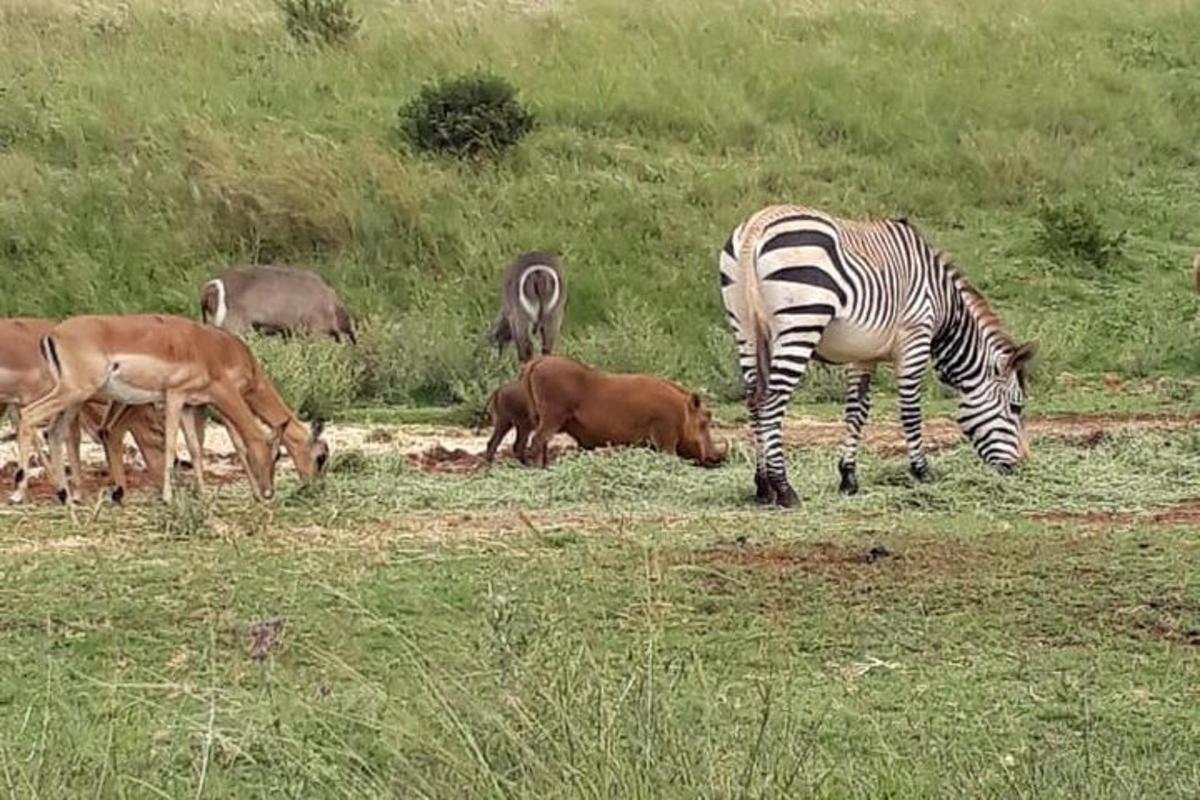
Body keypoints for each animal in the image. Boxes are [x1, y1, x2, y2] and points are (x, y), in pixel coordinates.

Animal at [15, 316, 328, 503]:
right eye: (321, 457)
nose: (269, 492)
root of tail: (52, 334)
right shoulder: (179, 396)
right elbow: (175, 445)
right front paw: (168, 497)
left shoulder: (192, 404)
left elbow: (196, 447)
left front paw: (202, 494)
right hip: (75, 393)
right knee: (29, 416)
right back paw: (22, 492)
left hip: (76, 399)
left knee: (59, 433)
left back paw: (69, 495)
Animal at [715, 206, 1036, 506]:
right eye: (1016, 407)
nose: (1020, 466)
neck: (945, 306)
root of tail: (758, 224)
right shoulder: (915, 339)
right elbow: (910, 410)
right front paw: (921, 472)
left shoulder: (863, 355)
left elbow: (857, 411)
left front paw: (848, 478)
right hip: (800, 322)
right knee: (772, 402)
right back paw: (784, 489)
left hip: (745, 327)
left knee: (754, 401)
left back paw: (763, 487)